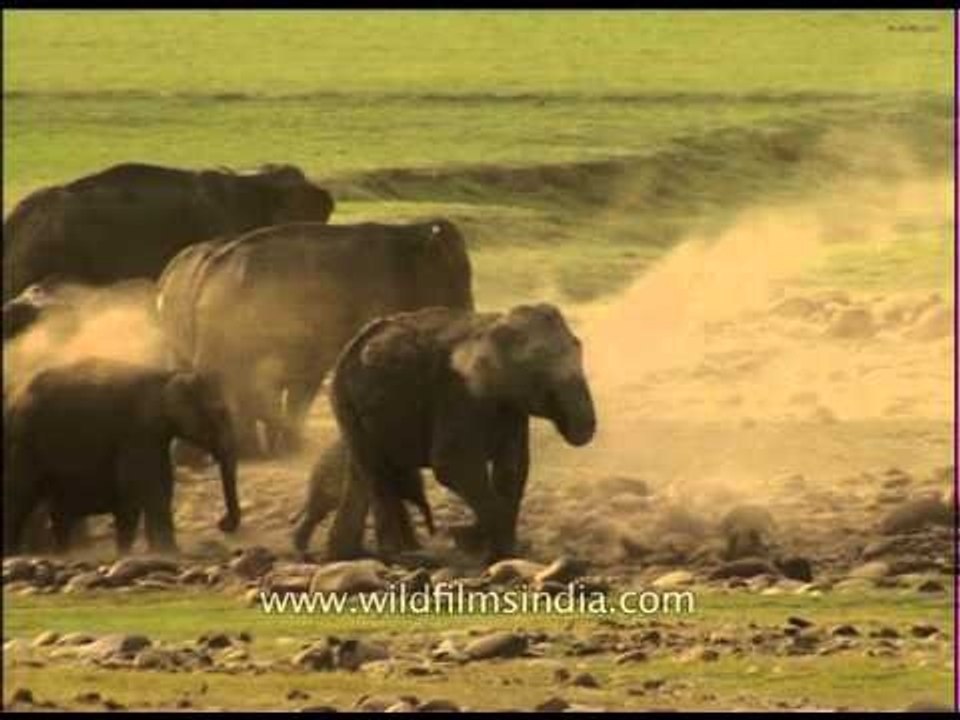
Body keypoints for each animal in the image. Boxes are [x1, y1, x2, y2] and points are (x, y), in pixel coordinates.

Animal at [3, 358, 241, 555]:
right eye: (220, 413)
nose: (222, 524)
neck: (169, 375)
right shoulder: (137, 431)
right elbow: (146, 485)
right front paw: (168, 553)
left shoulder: (153, 435)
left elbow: (161, 482)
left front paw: (157, 552)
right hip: (23, 441)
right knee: (19, 495)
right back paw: (13, 555)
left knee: (57, 510)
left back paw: (62, 554)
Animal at [322, 303, 596, 562]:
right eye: (538, 369)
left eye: (578, 347)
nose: (583, 429)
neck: (495, 323)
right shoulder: (457, 393)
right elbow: (452, 465)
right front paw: (483, 546)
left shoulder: (511, 407)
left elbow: (513, 467)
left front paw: (486, 547)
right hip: (346, 401)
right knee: (378, 474)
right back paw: (402, 556)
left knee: (362, 474)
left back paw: (346, 555)